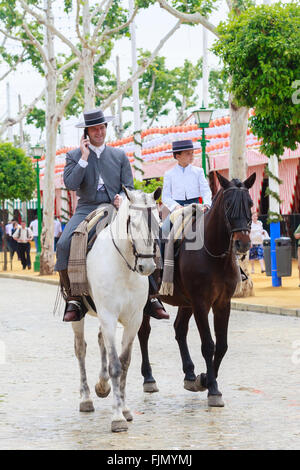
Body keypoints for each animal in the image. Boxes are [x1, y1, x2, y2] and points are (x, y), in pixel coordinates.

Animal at [71, 186, 161, 434]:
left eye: (158, 223)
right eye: (133, 222)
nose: (147, 266)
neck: (125, 267)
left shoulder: (134, 320)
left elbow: (125, 363)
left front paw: (125, 408)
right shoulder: (110, 317)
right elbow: (115, 365)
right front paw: (118, 417)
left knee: (100, 339)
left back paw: (102, 386)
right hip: (80, 317)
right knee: (80, 349)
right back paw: (85, 398)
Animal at [138, 173, 255, 408]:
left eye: (250, 203)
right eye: (228, 205)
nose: (243, 244)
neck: (214, 253)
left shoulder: (222, 303)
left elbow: (222, 345)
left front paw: (205, 380)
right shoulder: (201, 303)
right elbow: (208, 345)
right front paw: (213, 389)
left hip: (186, 302)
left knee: (179, 329)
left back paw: (190, 375)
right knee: (143, 333)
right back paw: (149, 378)